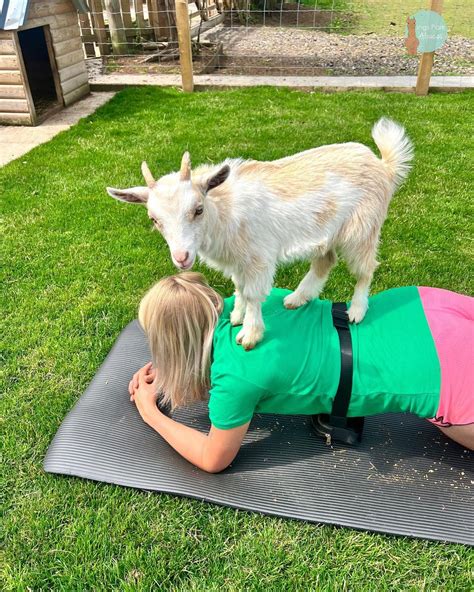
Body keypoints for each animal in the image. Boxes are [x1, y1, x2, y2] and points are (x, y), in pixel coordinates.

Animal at [107, 119, 412, 352]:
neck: (224, 210)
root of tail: (384, 166)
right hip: (326, 232)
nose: (182, 258)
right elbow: (240, 288)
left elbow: (253, 294)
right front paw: (236, 316)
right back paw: (298, 298)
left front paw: (250, 334)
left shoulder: (257, 258)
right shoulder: (238, 261)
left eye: (198, 209)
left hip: (362, 228)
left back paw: (357, 310)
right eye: (154, 219)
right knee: (325, 260)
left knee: (366, 269)